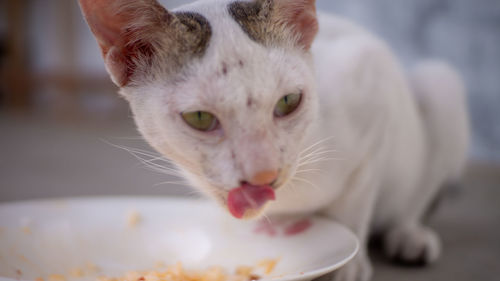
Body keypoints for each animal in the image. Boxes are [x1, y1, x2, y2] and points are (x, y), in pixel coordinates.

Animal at [78, 0, 468, 280]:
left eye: (289, 101)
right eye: (200, 118)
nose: (263, 174)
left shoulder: (372, 80)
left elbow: (354, 203)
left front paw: (348, 264)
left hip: (440, 81)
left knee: (415, 197)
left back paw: (409, 235)